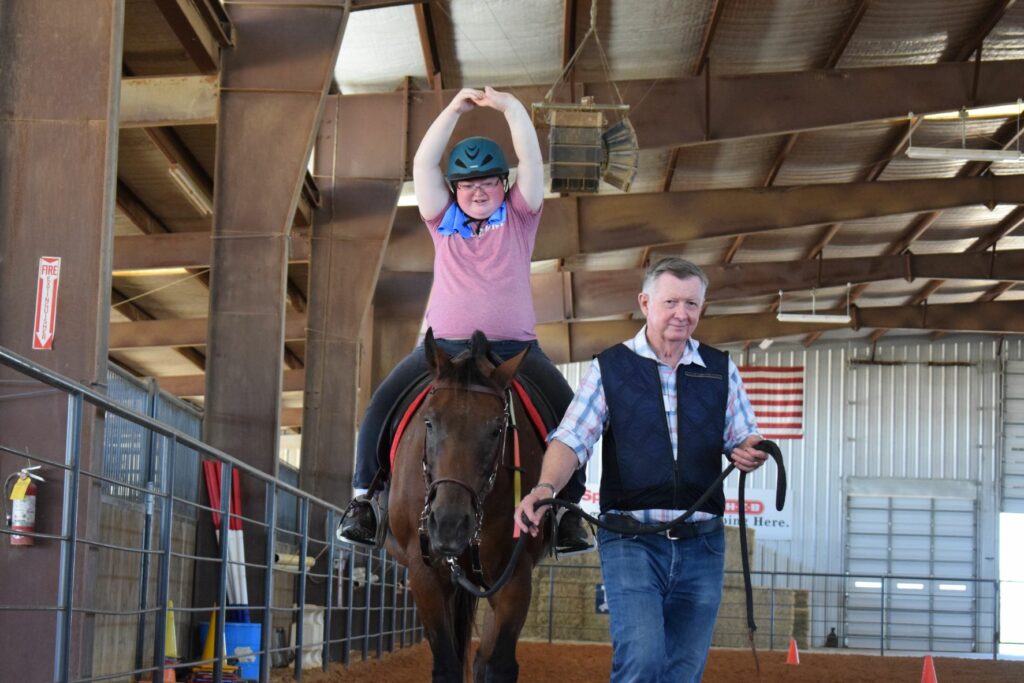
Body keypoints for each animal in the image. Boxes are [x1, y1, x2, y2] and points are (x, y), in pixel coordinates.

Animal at [385, 329, 548, 679]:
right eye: (429, 422)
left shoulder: (515, 575)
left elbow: (498, 664)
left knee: (482, 659)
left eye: (497, 429)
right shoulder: (425, 574)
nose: (449, 525)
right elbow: (447, 666)